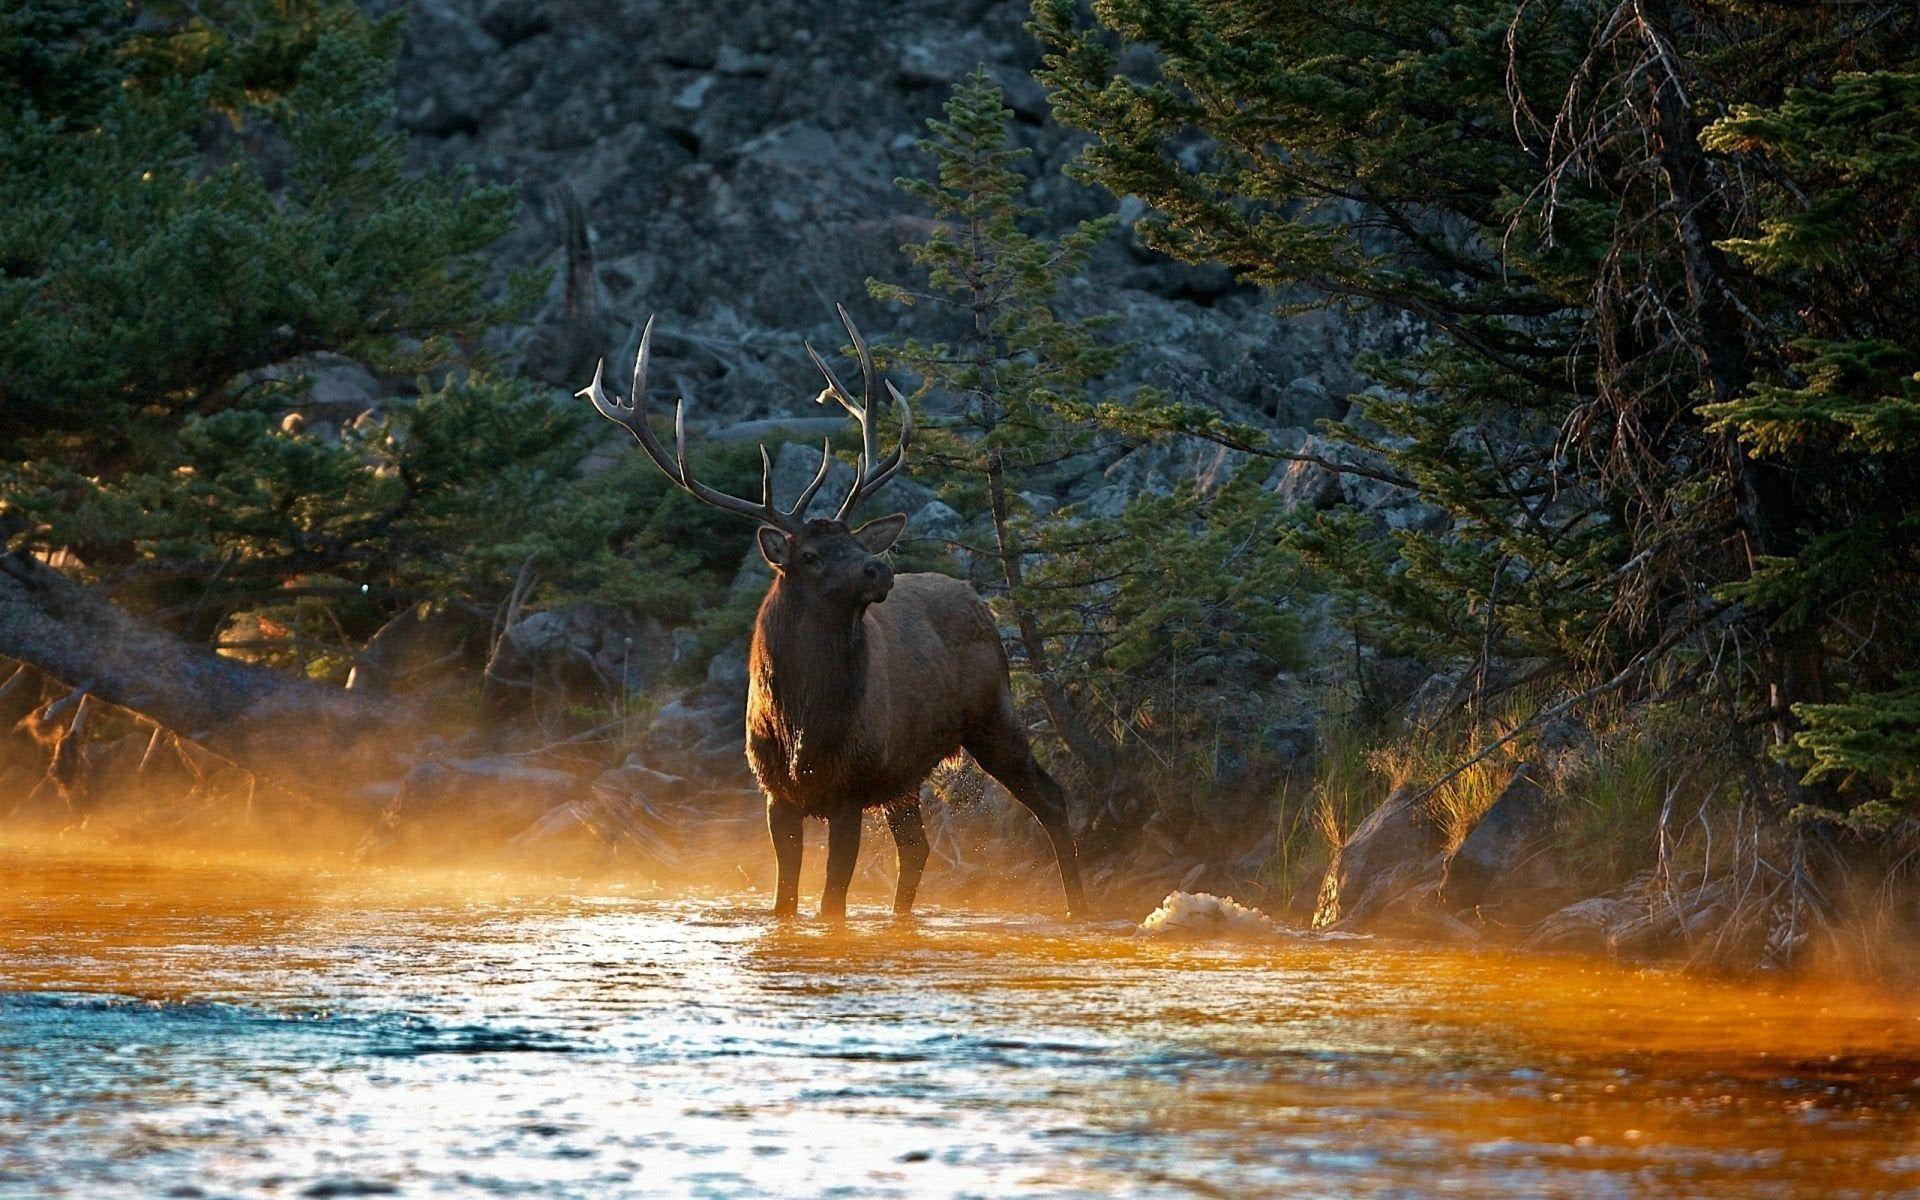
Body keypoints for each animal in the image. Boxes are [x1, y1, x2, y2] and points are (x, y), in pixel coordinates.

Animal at [580, 306, 1087, 921]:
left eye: (854, 541)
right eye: (811, 554)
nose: (878, 568)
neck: (803, 723)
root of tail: (979, 600)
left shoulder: (850, 788)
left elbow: (831, 904)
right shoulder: (776, 793)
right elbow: (785, 902)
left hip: (993, 713)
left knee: (1051, 797)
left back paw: (1078, 907)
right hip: (905, 772)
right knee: (917, 848)